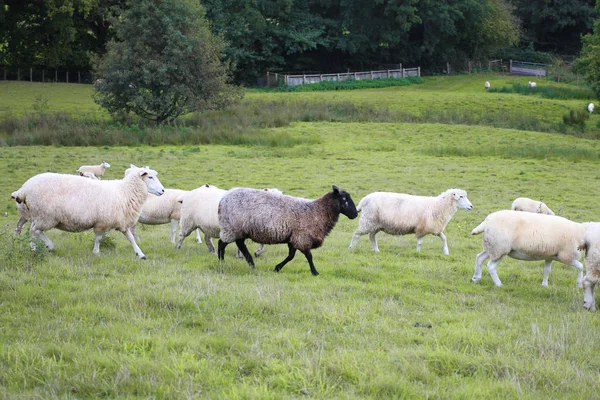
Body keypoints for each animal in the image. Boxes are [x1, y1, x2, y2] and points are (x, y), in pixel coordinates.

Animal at [11, 164, 165, 258]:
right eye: (150, 177)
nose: (163, 191)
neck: (125, 192)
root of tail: (24, 189)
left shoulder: (121, 221)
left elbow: (131, 238)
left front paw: (140, 254)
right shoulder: (102, 222)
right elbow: (98, 238)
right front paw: (96, 252)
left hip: (39, 215)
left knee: (31, 231)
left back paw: (34, 247)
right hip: (46, 216)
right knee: (34, 231)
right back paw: (47, 246)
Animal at [216, 185, 356, 276]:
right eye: (344, 199)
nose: (355, 214)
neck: (317, 211)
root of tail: (222, 200)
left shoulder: (293, 238)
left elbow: (291, 256)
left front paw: (277, 268)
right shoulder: (302, 237)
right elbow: (309, 256)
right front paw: (315, 272)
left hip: (237, 229)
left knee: (235, 244)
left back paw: (244, 263)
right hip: (232, 227)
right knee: (223, 243)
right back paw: (224, 262)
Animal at [346, 188, 474, 256]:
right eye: (461, 197)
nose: (471, 206)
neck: (438, 206)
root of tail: (364, 200)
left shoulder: (435, 229)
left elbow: (444, 238)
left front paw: (446, 252)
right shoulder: (422, 228)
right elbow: (420, 242)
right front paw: (418, 252)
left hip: (375, 224)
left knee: (372, 236)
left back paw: (376, 250)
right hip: (367, 221)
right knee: (356, 234)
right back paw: (351, 248)